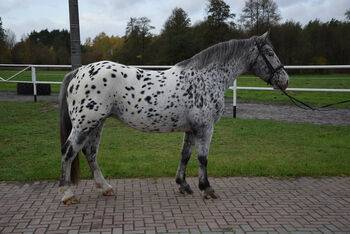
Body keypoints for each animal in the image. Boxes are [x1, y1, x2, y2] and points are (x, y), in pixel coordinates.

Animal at [58, 32, 288, 204]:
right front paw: (207, 189)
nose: (284, 80)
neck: (206, 78)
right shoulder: (205, 128)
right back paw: (67, 194)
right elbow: (202, 158)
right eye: (269, 52)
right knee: (69, 151)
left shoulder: (191, 129)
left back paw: (105, 187)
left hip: (97, 124)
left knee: (90, 153)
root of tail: (79, 71)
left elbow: (185, 155)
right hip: (85, 124)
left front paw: (184, 185)